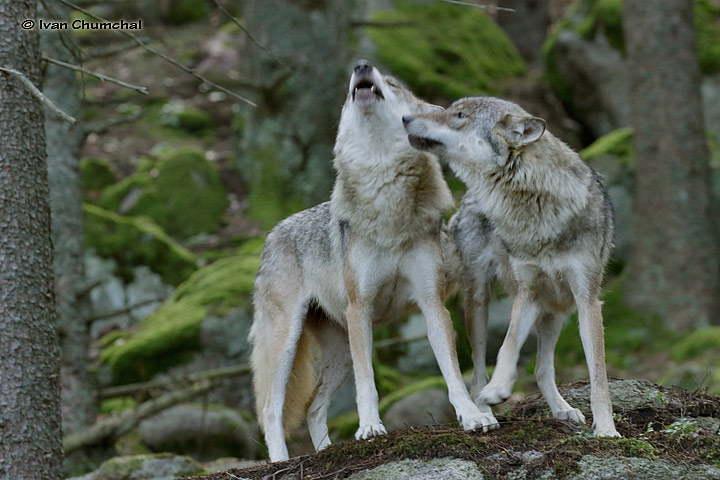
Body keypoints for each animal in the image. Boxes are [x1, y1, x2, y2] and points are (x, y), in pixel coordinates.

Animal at [250, 61, 498, 462]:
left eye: (393, 83)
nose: (361, 65)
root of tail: (272, 234)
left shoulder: (433, 304)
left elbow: (452, 373)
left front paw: (473, 417)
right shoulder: (360, 309)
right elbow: (368, 383)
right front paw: (369, 428)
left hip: (339, 352)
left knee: (313, 407)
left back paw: (325, 452)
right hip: (290, 342)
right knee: (272, 409)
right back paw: (281, 461)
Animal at [404, 97, 620, 438]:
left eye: (459, 115)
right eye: (449, 109)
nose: (405, 117)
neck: (533, 206)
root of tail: (466, 199)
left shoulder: (587, 300)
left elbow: (598, 376)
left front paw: (607, 429)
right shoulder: (527, 293)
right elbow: (507, 345)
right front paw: (497, 390)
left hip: (557, 309)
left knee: (542, 369)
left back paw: (562, 410)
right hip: (479, 304)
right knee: (477, 370)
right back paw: (483, 411)